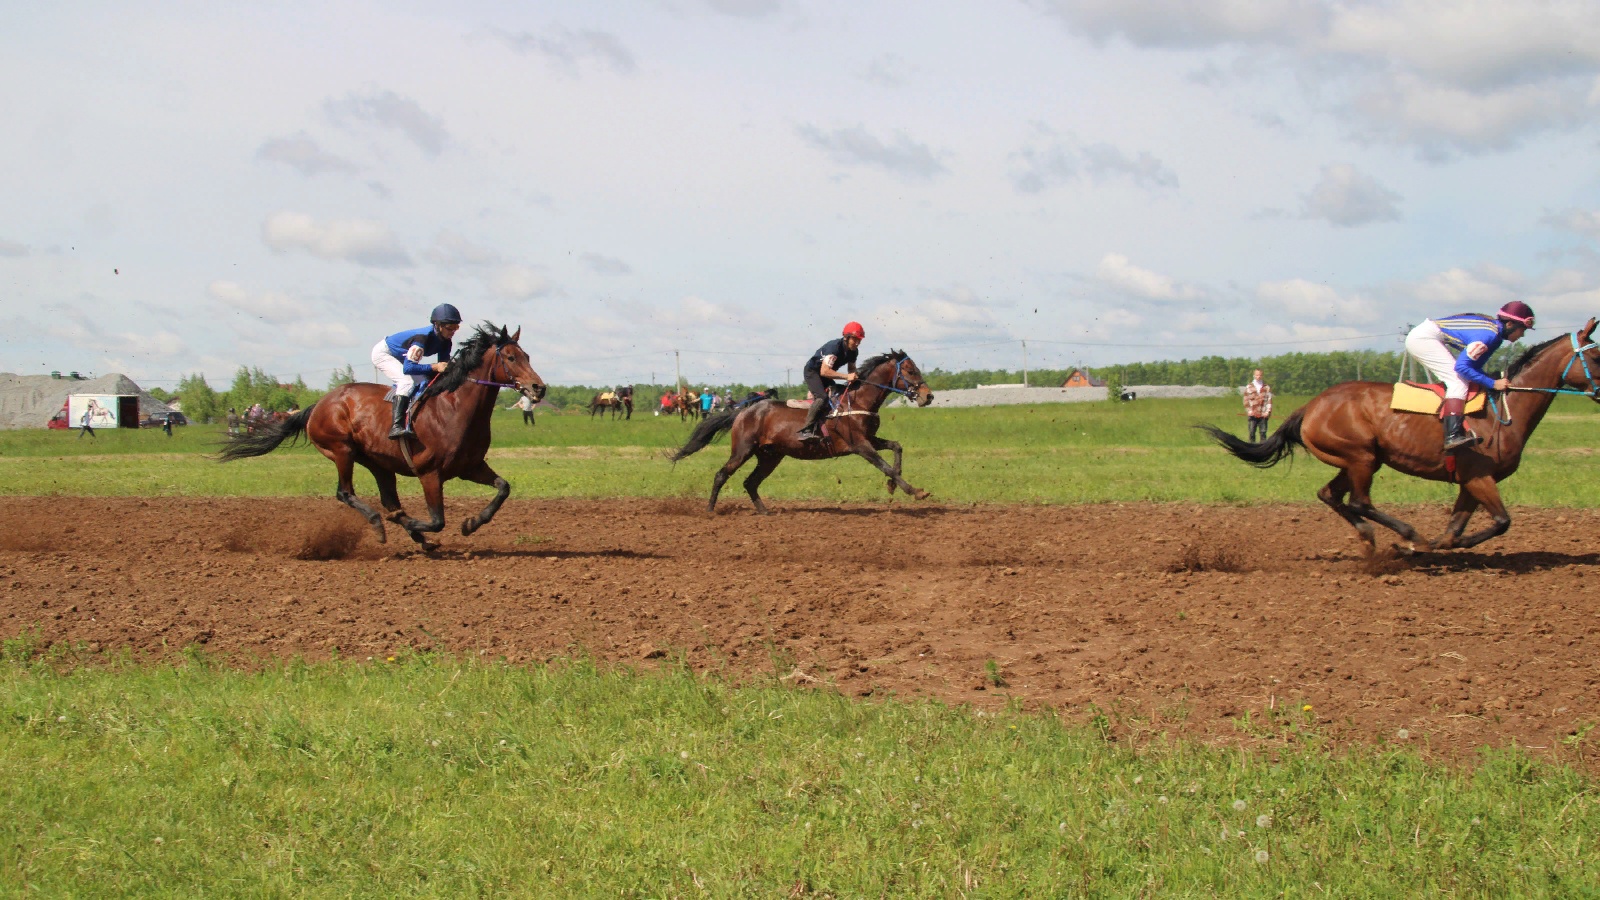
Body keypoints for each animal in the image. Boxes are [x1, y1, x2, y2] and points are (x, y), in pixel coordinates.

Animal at [219, 321, 547, 547]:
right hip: (341, 450)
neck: (454, 408)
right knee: (346, 493)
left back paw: (417, 537)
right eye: (511, 357)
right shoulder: (430, 473)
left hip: (379, 463)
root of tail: (319, 404)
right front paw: (414, 522)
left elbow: (503, 488)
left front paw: (471, 523)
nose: (539, 388)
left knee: (388, 499)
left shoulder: (470, 466)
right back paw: (381, 523)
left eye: (527, 355)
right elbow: (437, 520)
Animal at [665, 350, 934, 512]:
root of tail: (744, 410)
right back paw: (710, 509)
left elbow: (897, 447)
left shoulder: (870, 439)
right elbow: (885, 465)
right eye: (911, 371)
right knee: (722, 474)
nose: (928, 396)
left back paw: (764, 511)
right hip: (743, 450)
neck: (858, 400)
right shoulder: (860, 445)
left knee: (750, 482)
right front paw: (915, 491)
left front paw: (892, 486)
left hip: (770, 456)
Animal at [1203, 315, 1593, 554]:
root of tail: (1310, 406)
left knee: (1330, 494)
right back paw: (1408, 535)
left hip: (1358, 460)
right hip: (1361, 456)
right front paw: (1428, 544)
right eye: (1597, 355)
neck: (1504, 411)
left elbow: (1456, 529)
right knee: (1359, 502)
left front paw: (1441, 546)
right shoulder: (1479, 475)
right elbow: (1501, 521)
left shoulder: (1472, 480)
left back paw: (1371, 537)